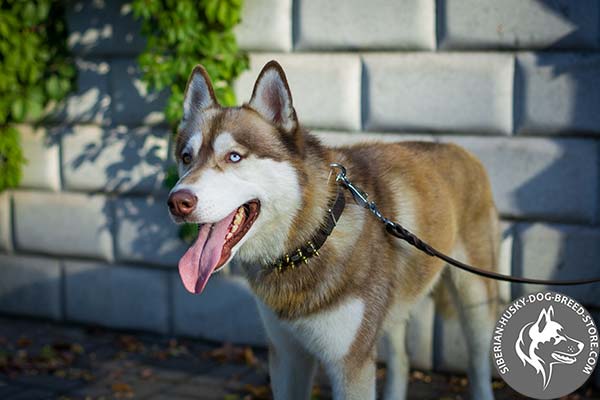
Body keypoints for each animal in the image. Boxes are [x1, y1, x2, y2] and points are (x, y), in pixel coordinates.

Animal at [166, 60, 500, 400]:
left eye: (234, 156)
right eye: (186, 158)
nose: (177, 202)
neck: (307, 243)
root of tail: (460, 148)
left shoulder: (350, 364)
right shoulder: (287, 354)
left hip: (475, 297)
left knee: (477, 362)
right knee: (402, 359)